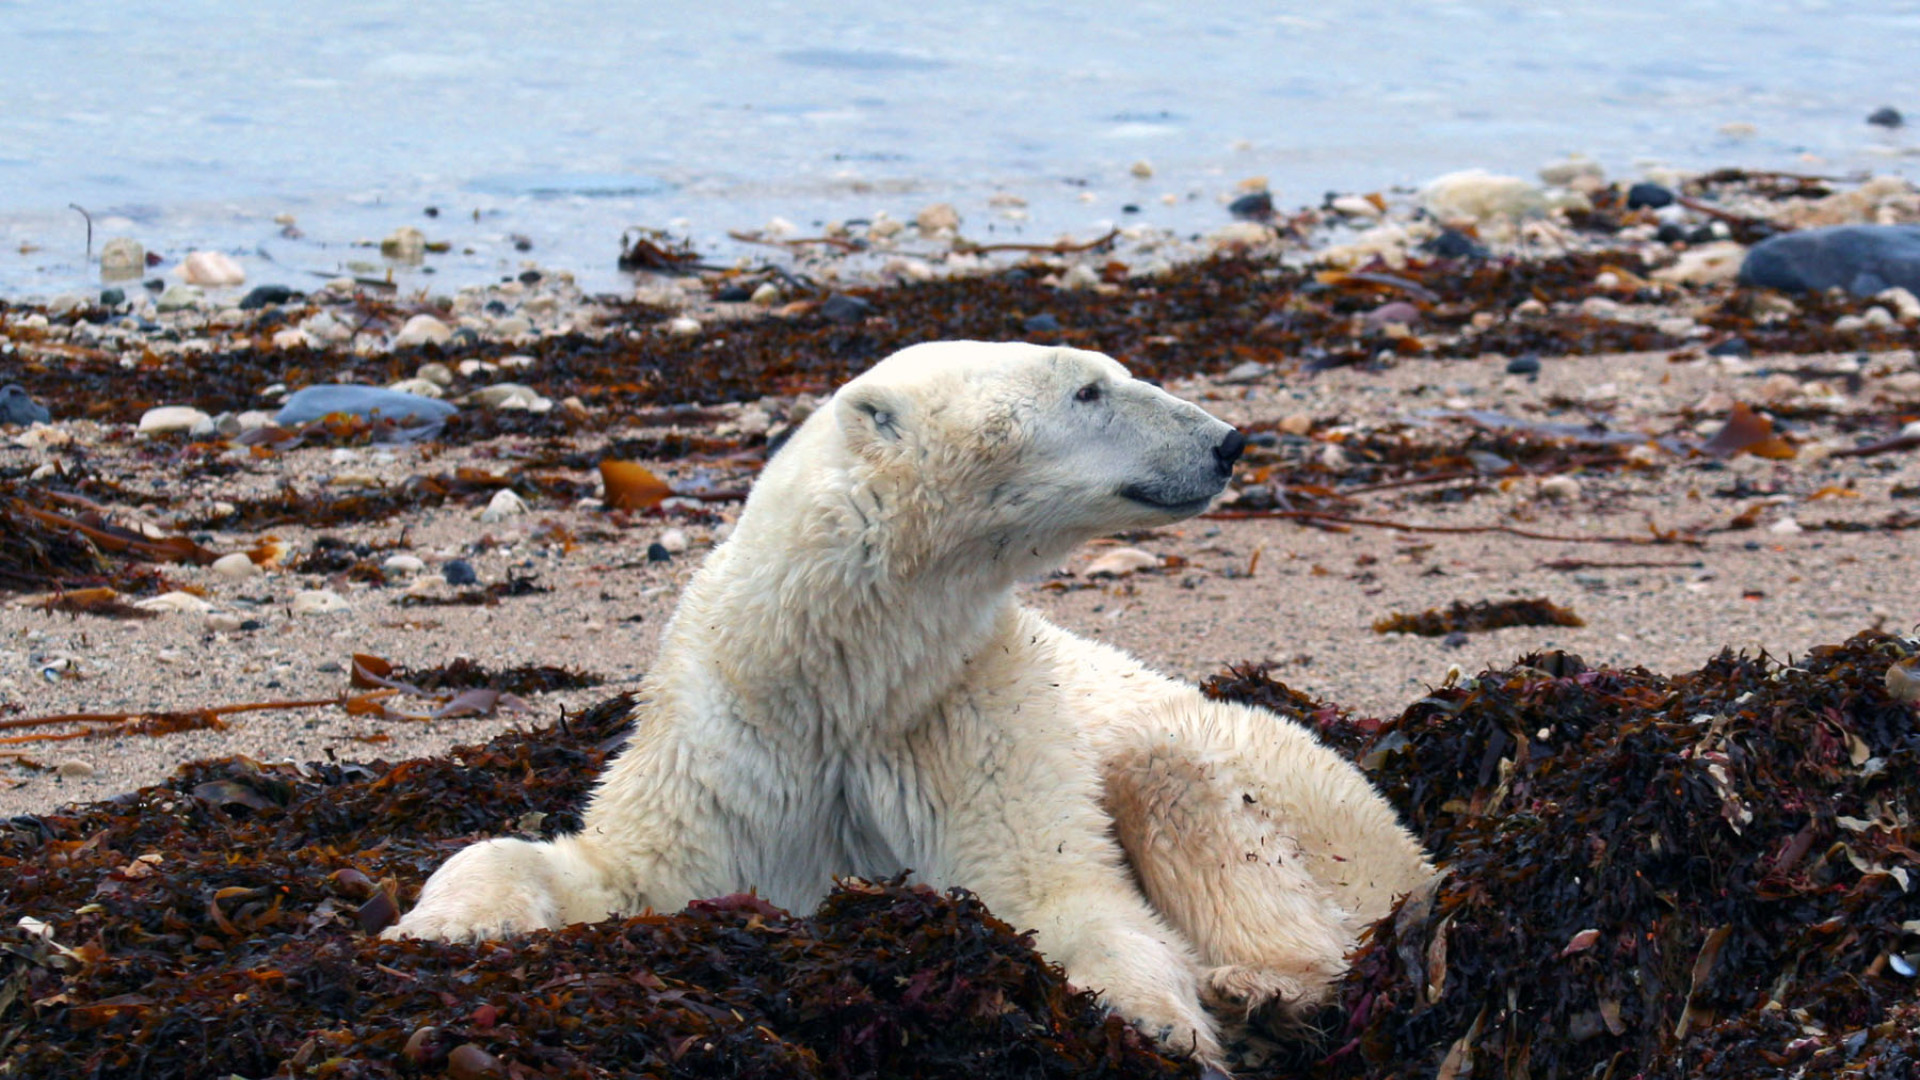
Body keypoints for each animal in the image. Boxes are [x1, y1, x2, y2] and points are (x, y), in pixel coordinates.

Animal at [389, 340, 1436, 1060]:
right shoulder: (733, 739)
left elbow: (1061, 891)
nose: (1227, 441)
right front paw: (438, 926)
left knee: (1189, 785)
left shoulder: (973, 717)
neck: (847, 677)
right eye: (1089, 390)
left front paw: (1153, 1019)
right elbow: (616, 867)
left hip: (1327, 817)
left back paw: (1258, 985)